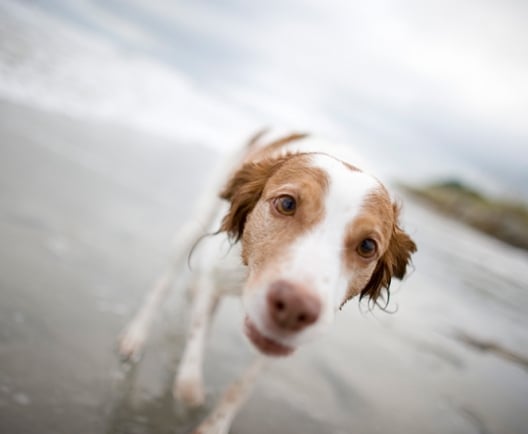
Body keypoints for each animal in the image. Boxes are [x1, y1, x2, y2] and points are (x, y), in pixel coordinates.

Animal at [118, 132, 416, 434]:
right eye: (286, 204)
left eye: (367, 246)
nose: (295, 308)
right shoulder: (214, 274)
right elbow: (192, 365)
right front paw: (190, 387)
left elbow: (240, 387)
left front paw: (214, 426)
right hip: (196, 223)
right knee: (163, 284)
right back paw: (135, 336)